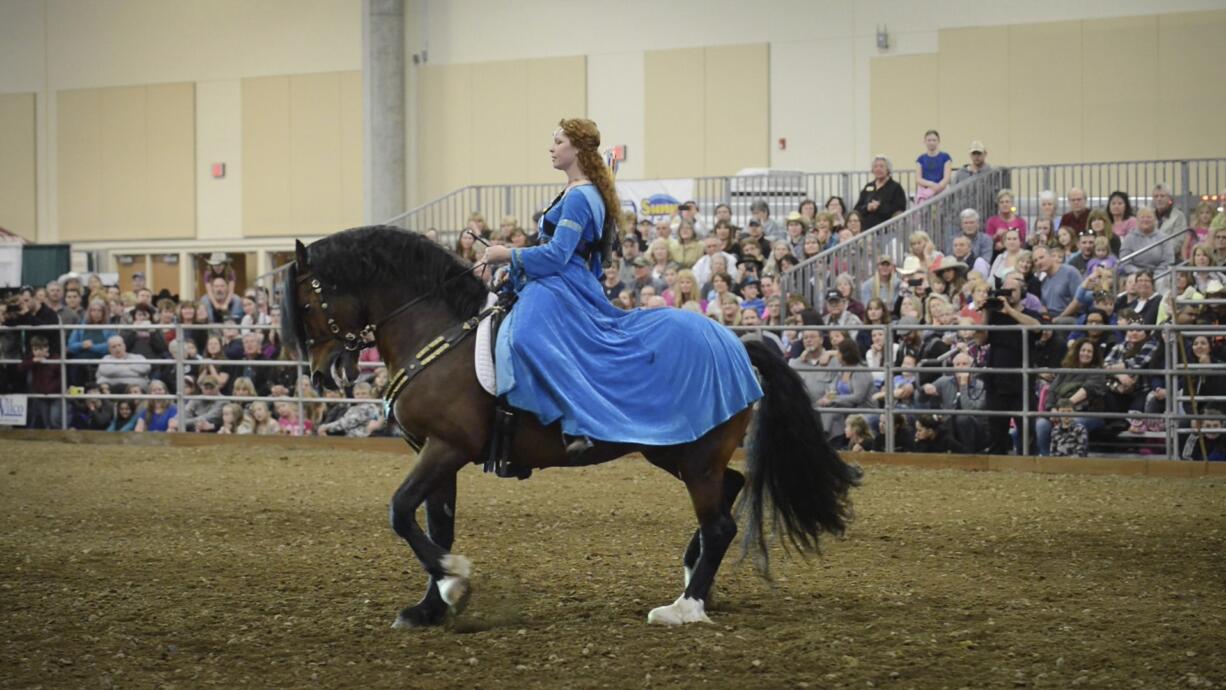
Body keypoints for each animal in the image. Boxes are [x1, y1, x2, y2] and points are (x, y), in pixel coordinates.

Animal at [284, 226, 863, 627]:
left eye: (308, 304)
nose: (322, 373)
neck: (440, 333)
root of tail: (738, 344)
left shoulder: (446, 448)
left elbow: (401, 513)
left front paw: (456, 581)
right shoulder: (436, 453)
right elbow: (433, 524)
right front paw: (431, 606)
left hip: (692, 457)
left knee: (721, 523)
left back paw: (685, 606)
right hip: (676, 452)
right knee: (731, 492)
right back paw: (692, 577)